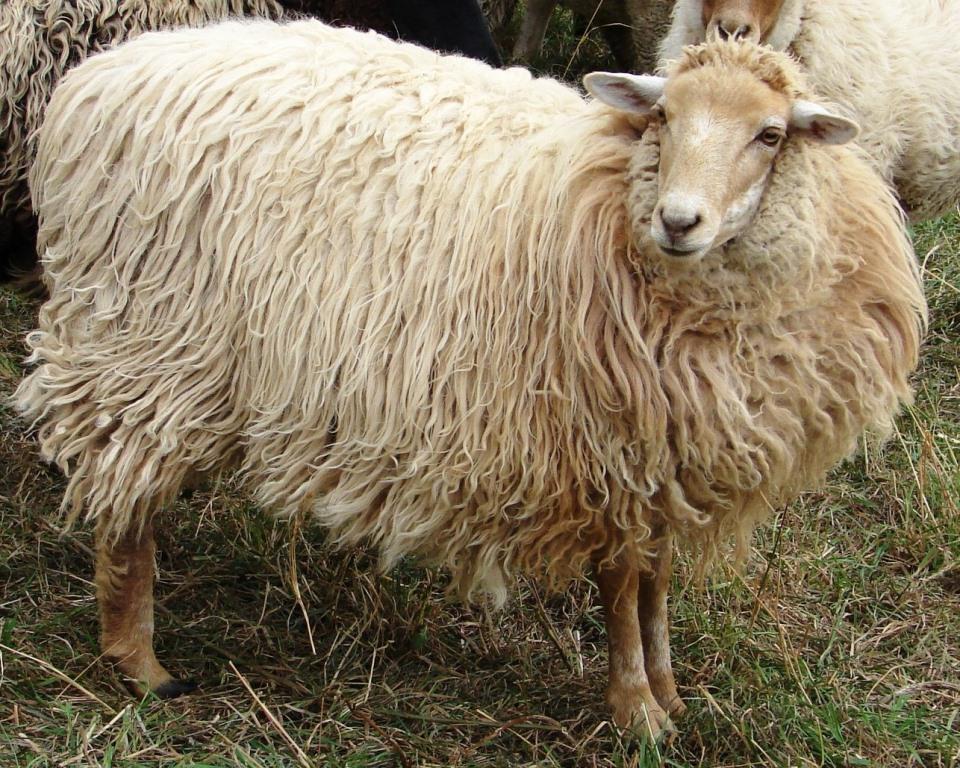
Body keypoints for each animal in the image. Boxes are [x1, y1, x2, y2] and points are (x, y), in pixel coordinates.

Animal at [15, 23, 926, 737]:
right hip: (142, 345)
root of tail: (97, 78)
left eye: (770, 135)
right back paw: (139, 663)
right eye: (664, 116)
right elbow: (620, 584)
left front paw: (669, 692)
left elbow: (657, 581)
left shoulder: (664, 452)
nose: (679, 221)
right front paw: (635, 710)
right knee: (124, 507)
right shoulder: (604, 445)